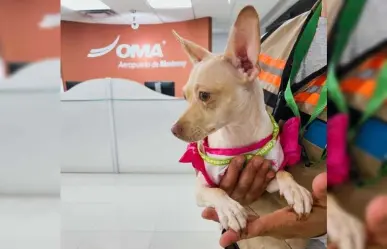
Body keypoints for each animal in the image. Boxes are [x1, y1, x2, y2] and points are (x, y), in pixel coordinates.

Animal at [171, 4, 314, 241]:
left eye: (204, 96)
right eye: (184, 96)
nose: (173, 130)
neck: (239, 133)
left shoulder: (268, 178)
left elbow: (283, 172)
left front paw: (295, 190)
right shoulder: (201, 186)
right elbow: (217, 190)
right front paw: (229, 209)